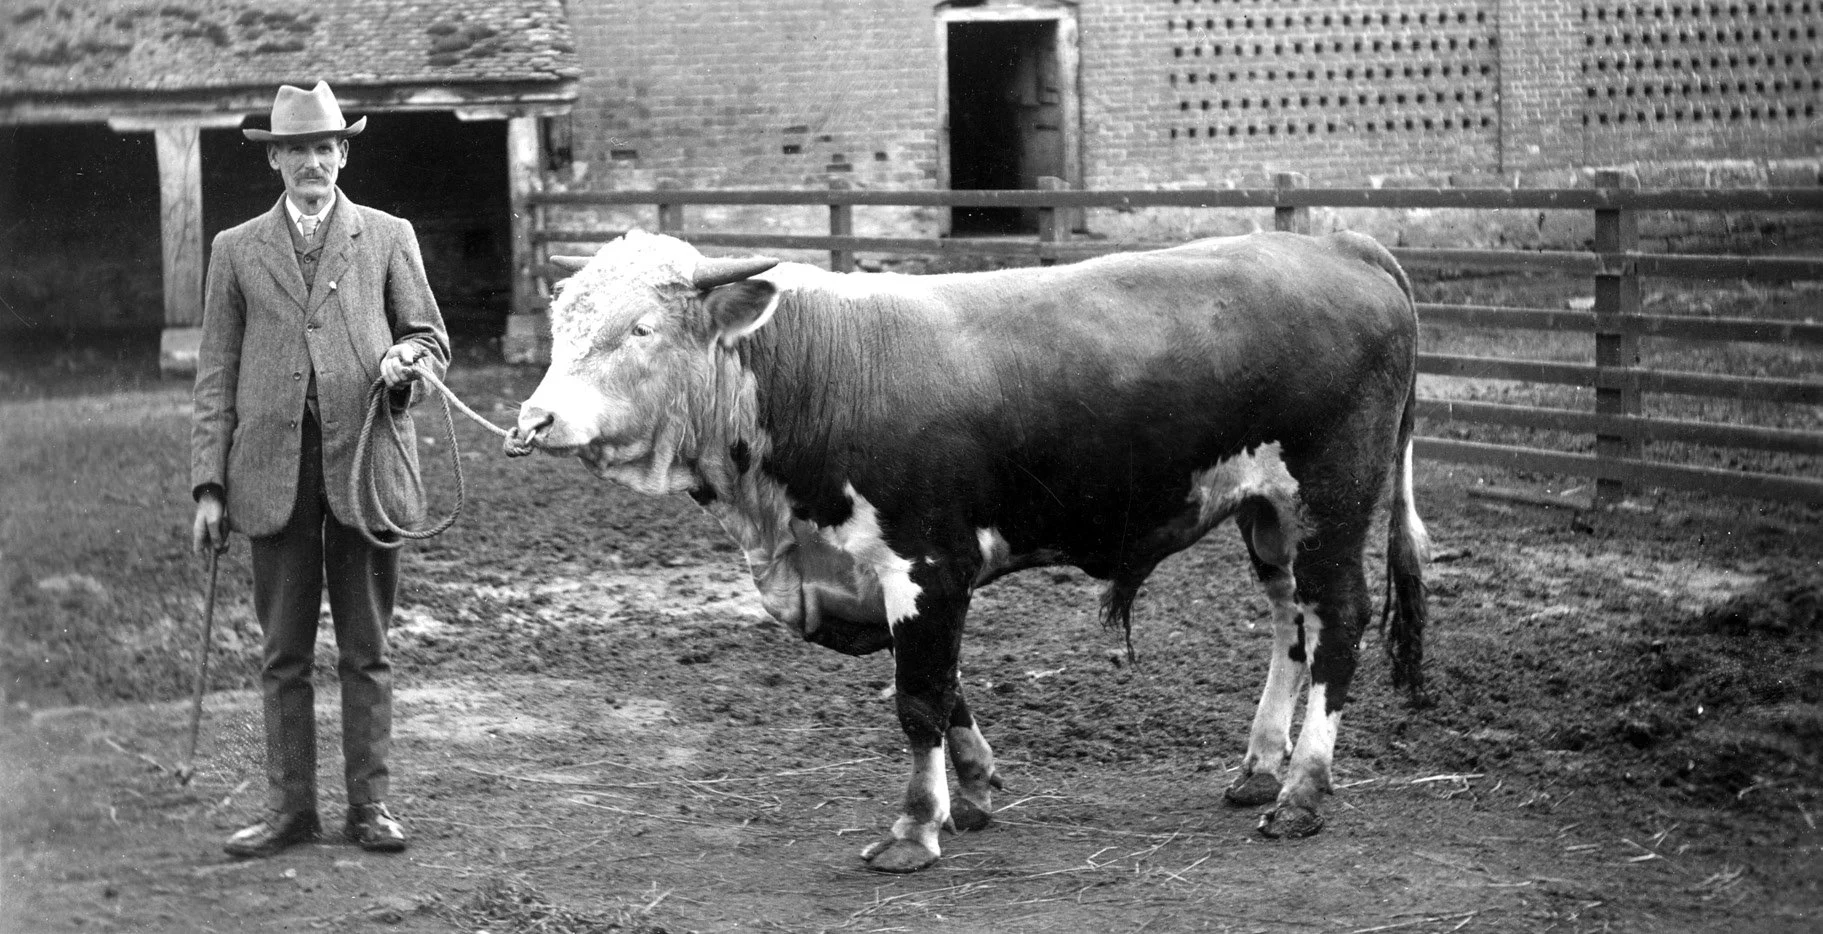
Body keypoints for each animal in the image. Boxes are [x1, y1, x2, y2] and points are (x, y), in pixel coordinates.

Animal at [506, 228, 1429, 873]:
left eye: (640, 328)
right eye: (559, 325)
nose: (533, 421)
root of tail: (1339, 244)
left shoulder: (927, 568)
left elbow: (918, 699)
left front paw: (915, 830)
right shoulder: (883, 581)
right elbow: (944, 690)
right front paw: (976, 788)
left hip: (1331, 498)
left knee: (1338, 623)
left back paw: (1303, 793)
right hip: (1266, 512)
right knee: (1289, 624)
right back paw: (1261, 767)